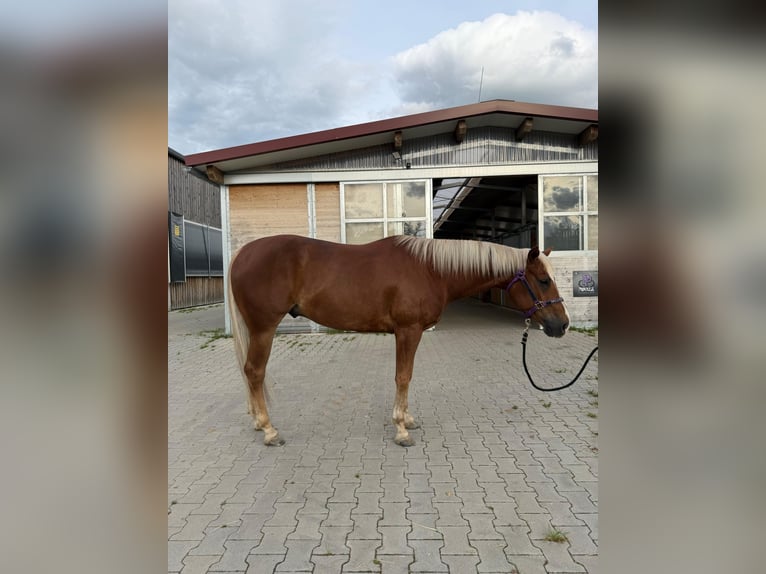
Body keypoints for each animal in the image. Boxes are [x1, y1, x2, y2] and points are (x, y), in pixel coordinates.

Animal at [227, 234, 570, 447]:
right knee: (254, 372)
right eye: (543, 280)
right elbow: (403, 376)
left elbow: (406, 376)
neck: (431, 270)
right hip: (263, 328)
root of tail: (243, 253)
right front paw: (402, 430)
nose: (562, 325)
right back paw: (269, 430)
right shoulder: (409, 330)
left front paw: (407, 419)